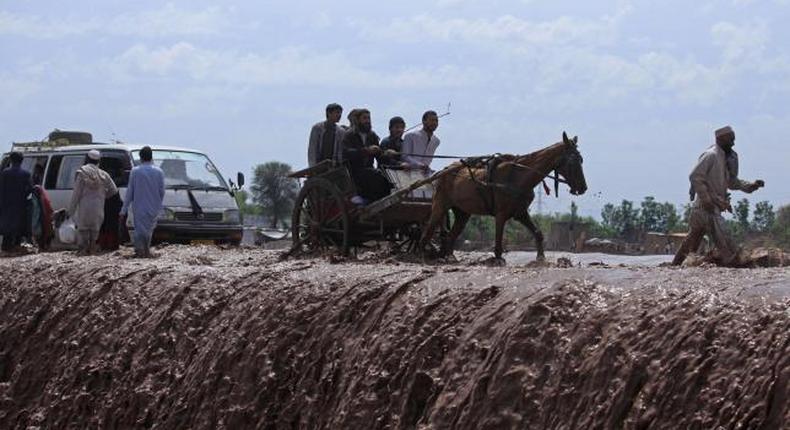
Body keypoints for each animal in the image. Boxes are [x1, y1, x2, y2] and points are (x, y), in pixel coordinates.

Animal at [420, 133, 588, 264]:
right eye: (573, 161)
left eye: (581, 159)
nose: (583, 187)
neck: (520, 176)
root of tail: (444, 171)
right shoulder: (501, 214)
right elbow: (498, 239)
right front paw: (498, 258)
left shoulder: (520, 213)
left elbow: (538, 233)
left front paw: (540, 257)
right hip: (440, 205)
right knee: (428, 230)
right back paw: (421, 253)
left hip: (462, 213)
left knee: (450, 236)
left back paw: (448, 256)